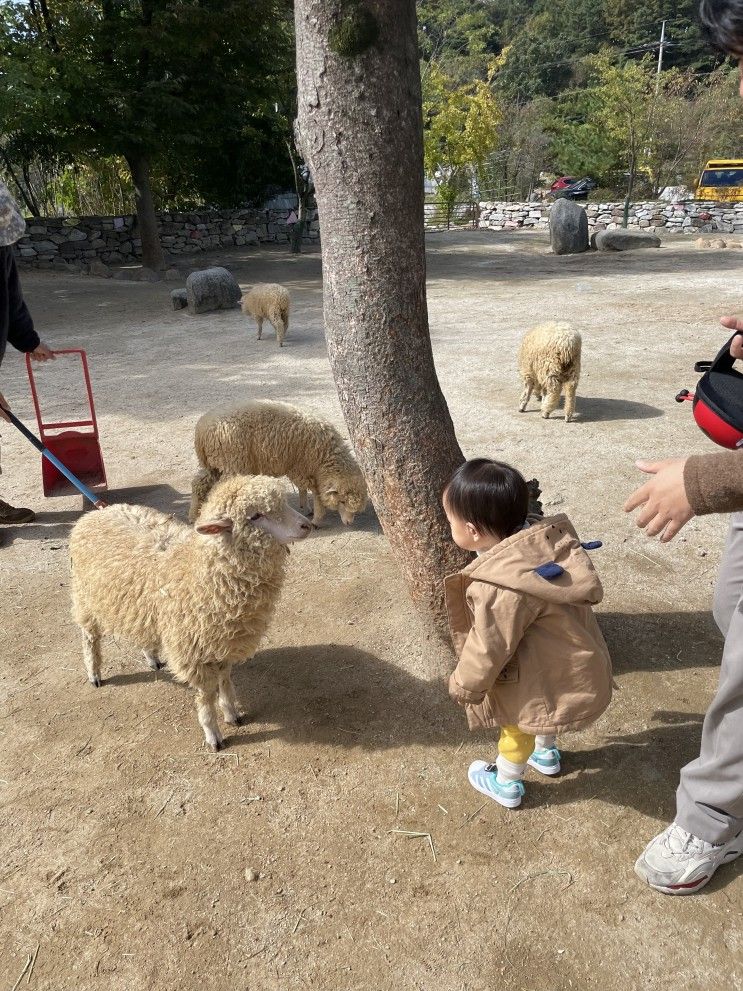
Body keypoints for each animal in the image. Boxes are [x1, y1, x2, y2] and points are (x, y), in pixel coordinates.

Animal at [70, 476, 310, 748]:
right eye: (256, 515)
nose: (306, 525)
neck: (199, 572)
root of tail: (96, 512)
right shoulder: (194, 651)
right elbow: (205, 696)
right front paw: (213, 734)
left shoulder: (224, 642)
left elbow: (225, 680)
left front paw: (231, 713)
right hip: (85, 599)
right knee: (90, 637)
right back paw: (94, 673)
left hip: (140, 609)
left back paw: (152, 658)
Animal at [189, 402, 370, 532]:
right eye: (342, 501)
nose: (349, 523)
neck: (326, 456)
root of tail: (201, 430)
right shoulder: (303, 467)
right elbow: (316, 493)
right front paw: (316, 518)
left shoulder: (300, 467)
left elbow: (303, 488)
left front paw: (305, 507)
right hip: (232, 463)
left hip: (214, 464)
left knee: (199, 484)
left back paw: (193, 515)